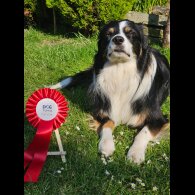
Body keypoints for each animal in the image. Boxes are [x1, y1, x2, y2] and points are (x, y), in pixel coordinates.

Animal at [50, 19, 169, 164]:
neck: (120, 69)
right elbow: (108, 122)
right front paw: (106, 145)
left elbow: (143, 132)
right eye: (108, 34)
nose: (118, 39)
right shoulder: (104, 108)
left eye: (131, 34)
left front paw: (135, 153)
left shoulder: (159, 118)